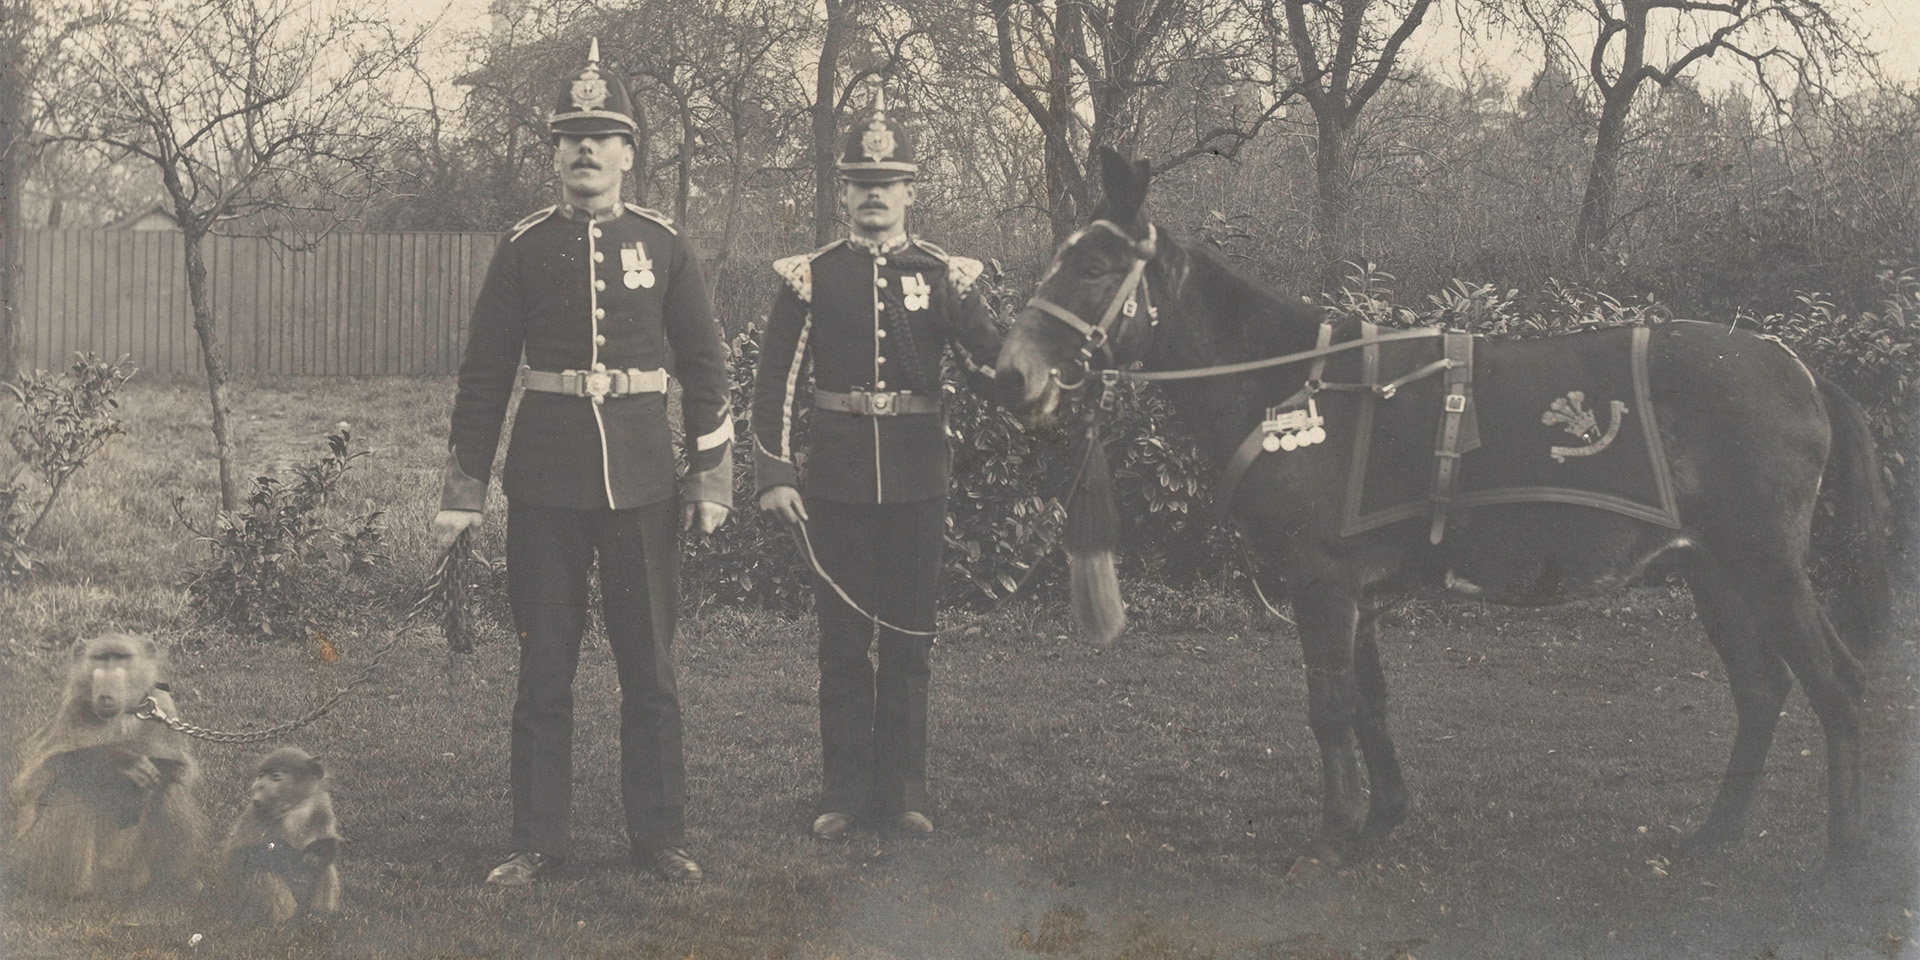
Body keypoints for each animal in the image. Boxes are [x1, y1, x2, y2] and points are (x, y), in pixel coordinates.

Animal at [8, 633, 209, 899]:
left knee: (170, 789)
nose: (106, 693)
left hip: (135, 868)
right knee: (71, 791)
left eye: (120, 658)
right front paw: (118, 762)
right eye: (101, 659)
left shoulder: (164, 708)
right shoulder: (72, 710)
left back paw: (173, 884)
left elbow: (179, 769)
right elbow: (33, 782)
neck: (123, 715)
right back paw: (70, 891)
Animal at [220, 746, 343, 924]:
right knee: (263, 869)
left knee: (325, 867)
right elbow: (237, 855)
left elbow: (326, 844)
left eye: (275, 776)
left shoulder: (322, 805)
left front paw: (322, 850)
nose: (258, 786)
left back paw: (318, 916)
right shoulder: (255, 812)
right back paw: (285, 922)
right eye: (261, 775)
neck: (294, 808)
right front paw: (284, 852)